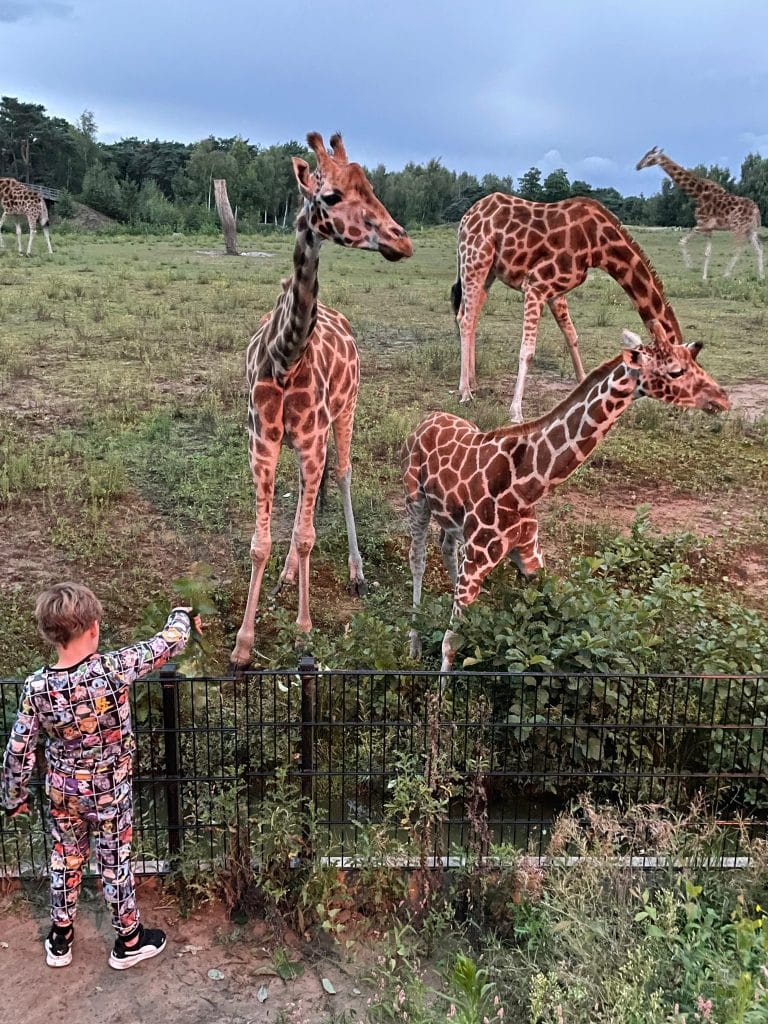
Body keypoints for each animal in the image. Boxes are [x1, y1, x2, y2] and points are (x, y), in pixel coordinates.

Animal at [230, 130, 415, 671]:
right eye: (331, 196)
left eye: (371, 187)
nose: (402, 239)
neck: (285, 357)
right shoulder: (262, 443)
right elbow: (260, 542)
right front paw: (243, 645)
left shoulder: (312, 439)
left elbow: (311, 535)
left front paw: (303, 631)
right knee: (303, 500)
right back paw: (288, 575)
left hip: (347, 411)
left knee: (345, 473)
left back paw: (355, 573)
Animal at [405, 327, 729, 675]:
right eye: (676, 371)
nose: (722, 398)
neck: (527, 486)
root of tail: (426, 419)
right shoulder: (477, 559)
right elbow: (450, 645)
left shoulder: (529, 555)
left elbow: (553, 609)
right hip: (416, 501)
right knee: (418, 559)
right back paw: (413, 644)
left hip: (451, 519)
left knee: (446, 549)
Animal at [450, 193, 684, 421]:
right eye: (677, 371)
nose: (678, 405)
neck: (599, 245)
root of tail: (466, 217)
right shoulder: (536, 285)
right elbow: (528, 351)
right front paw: (516, 412)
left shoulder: (556, 292)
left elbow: (572, 335)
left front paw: (584, 386)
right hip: (475, 261)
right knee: (466, 319)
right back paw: (466, 392)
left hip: (489, 271)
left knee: (470, 315)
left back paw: (473, 382)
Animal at [638, 146, 765, 282]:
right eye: (645, 154)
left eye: (649, 157)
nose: (638, 166)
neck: (697, 195)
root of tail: (756, 210)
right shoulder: (708, 228)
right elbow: (707, 252)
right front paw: (704, 277)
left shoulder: (702, 224)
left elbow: (682, 241)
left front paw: (691, 267)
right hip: (751, 229)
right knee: (759, 248)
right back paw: (761, 277)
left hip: (738, 227)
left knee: (738, 248)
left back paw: (725, 275)